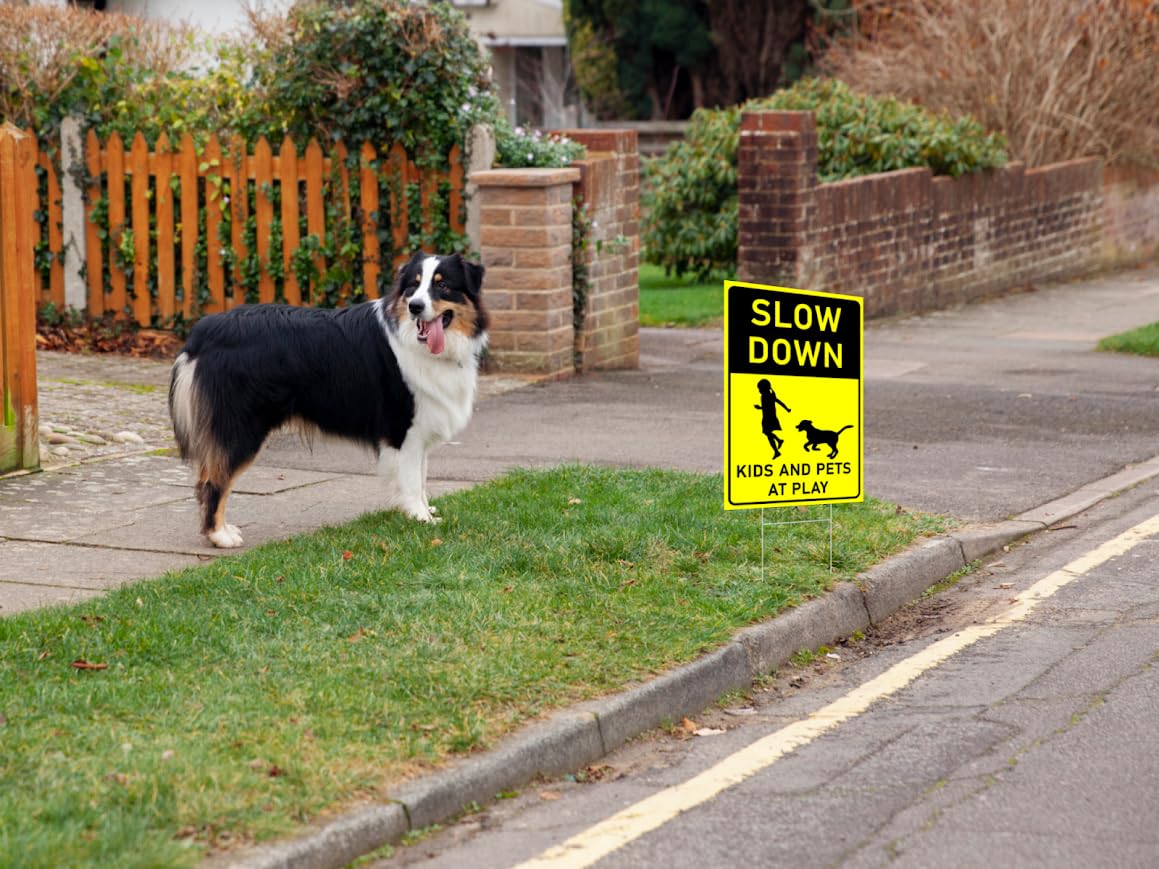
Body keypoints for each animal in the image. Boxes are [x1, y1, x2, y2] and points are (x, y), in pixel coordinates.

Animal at [168, 254, 484, 546]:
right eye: (413, 286)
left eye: (442, 285)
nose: (415, 306)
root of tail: (204, 330)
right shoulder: (402, 429)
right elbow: (410, 480)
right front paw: (421, 519)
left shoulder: (419, 432)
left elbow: (420, 477)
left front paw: (422, 511)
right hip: (242, 427)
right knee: (213, 480)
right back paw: (219, 535)